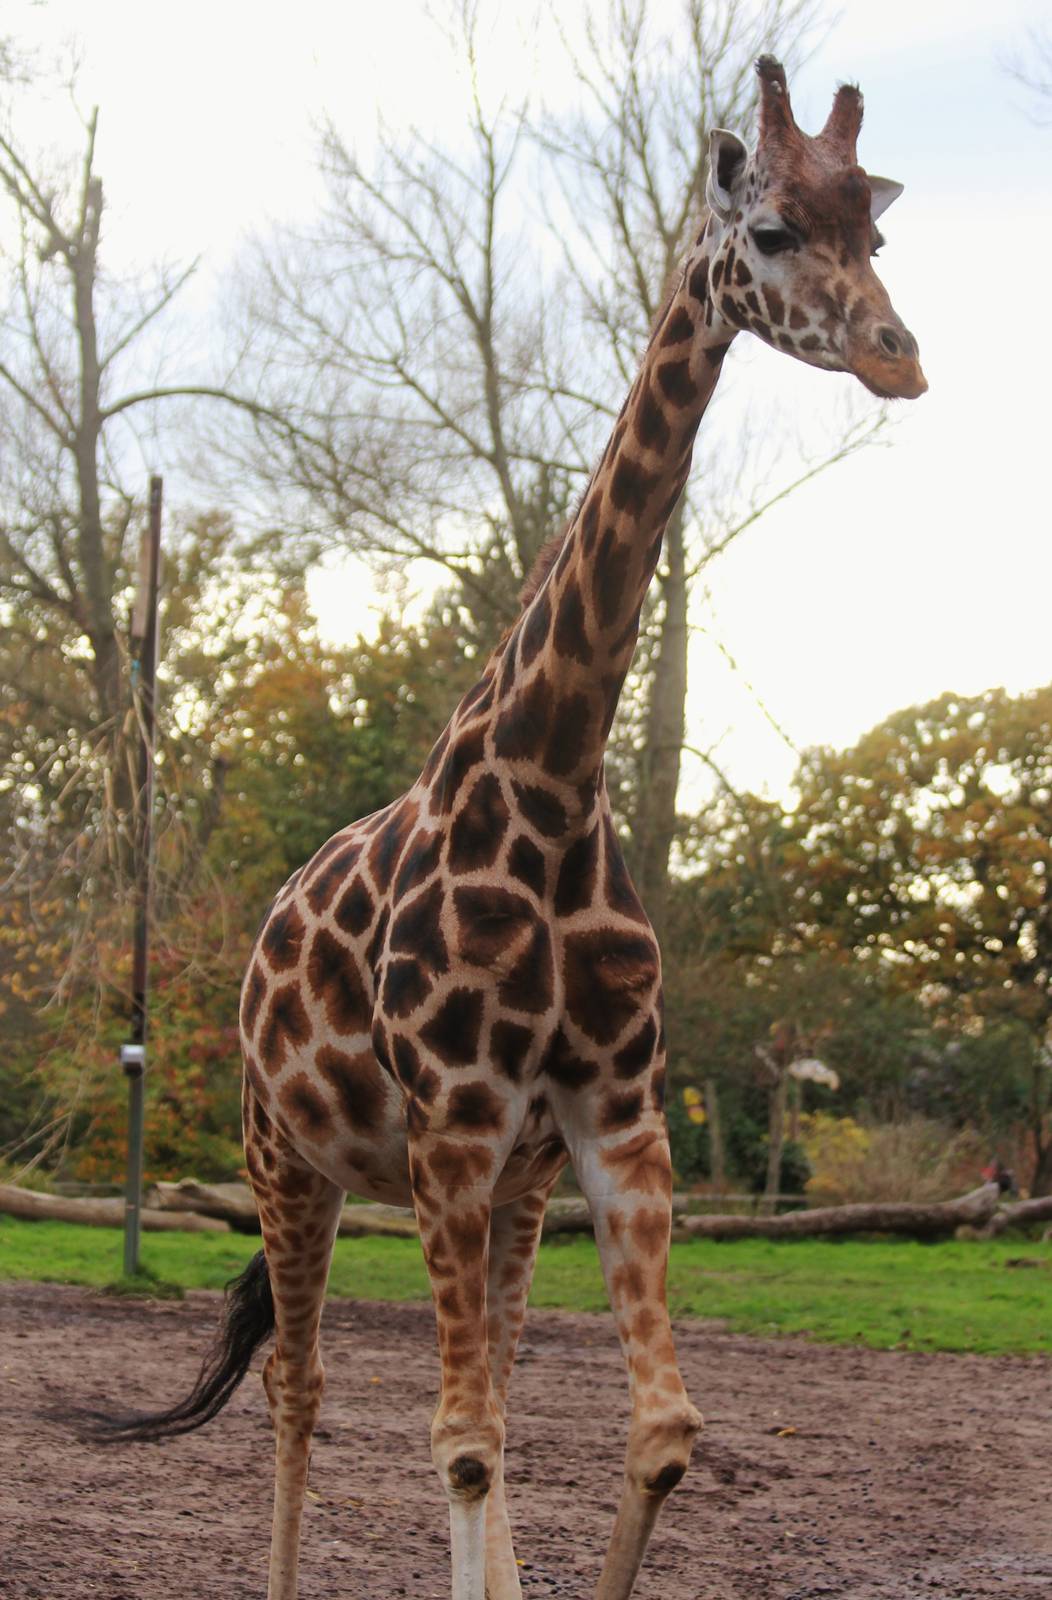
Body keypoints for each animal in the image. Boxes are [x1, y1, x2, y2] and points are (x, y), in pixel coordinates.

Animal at [98, 58, 925, 1600]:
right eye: (772, 229)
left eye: (877, 231)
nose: (898, 354)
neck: (550, 784)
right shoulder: (454, 1121)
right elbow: (458, 1438)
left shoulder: (606, 1118)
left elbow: (647, 1432)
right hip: (285, 1156)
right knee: (299, 1389)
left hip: (500, 1188)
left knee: (474, 1389)